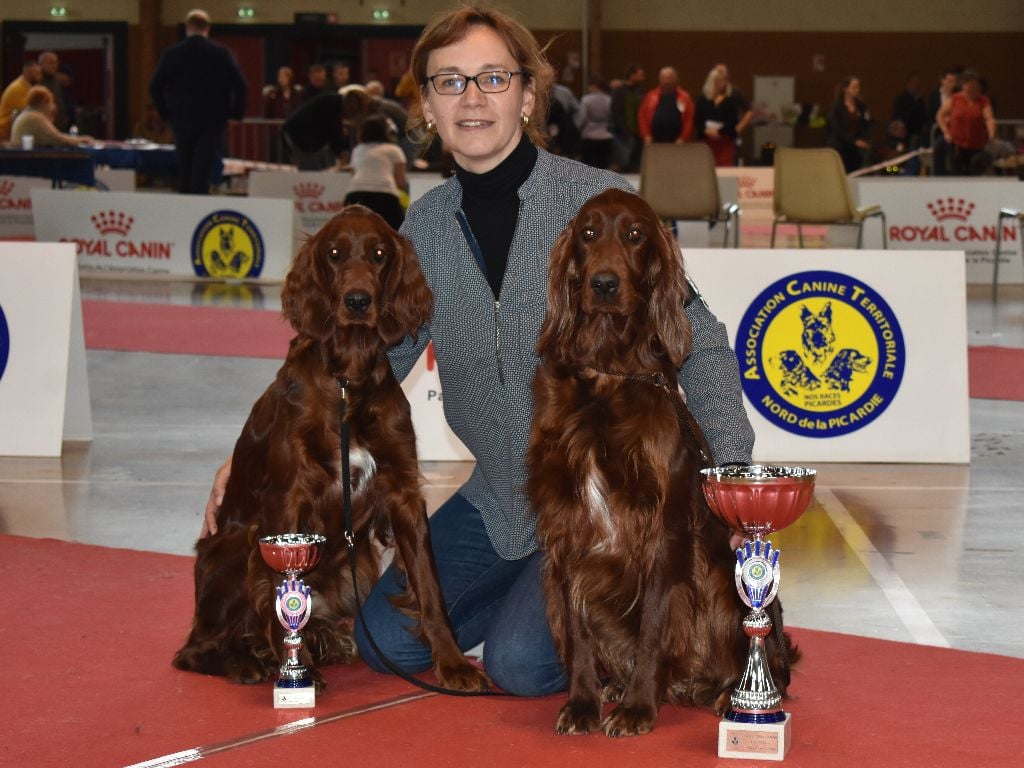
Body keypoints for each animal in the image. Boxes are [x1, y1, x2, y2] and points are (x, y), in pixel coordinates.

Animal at [173, 207, 491, 696]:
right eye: (335, 253)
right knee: (194, 649)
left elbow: (430, 587)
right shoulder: (288, 496)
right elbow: (282, 595)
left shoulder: (402, 491)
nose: (358, 301)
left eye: (379, 254)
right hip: (238, 546)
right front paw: (297, 669)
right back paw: (248, 662)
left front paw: (453, 663)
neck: (348, 382)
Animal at [528, 191, 798, 741]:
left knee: (770, 664)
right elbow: (579, 630)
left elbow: (654, 624)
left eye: (635, 235)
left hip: (725, 581)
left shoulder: (663, 531)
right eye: (588, 233)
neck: (606, 375)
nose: (604, 284)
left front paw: (637, 708)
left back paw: (725, 694)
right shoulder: (567, 527)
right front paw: (584, 702)